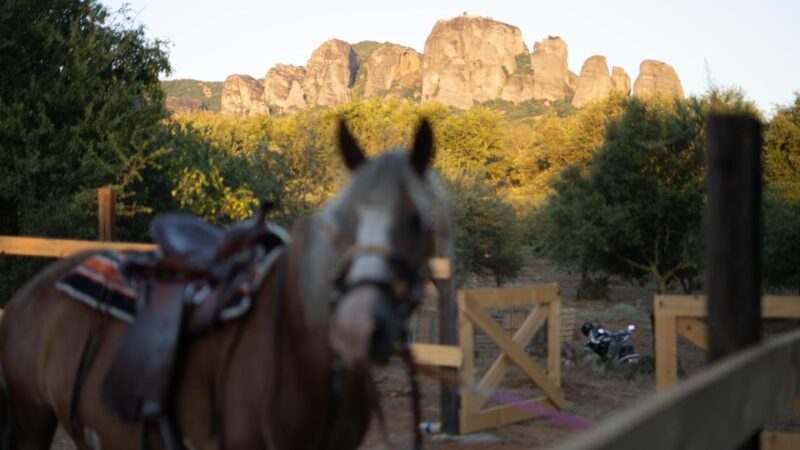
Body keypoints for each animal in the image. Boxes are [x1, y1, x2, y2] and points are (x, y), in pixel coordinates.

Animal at [0, 118, 452, 450]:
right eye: (342, 224)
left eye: (419, 221)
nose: (358, 326)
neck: (303, 348)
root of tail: (28, 295)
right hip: (30, 423)